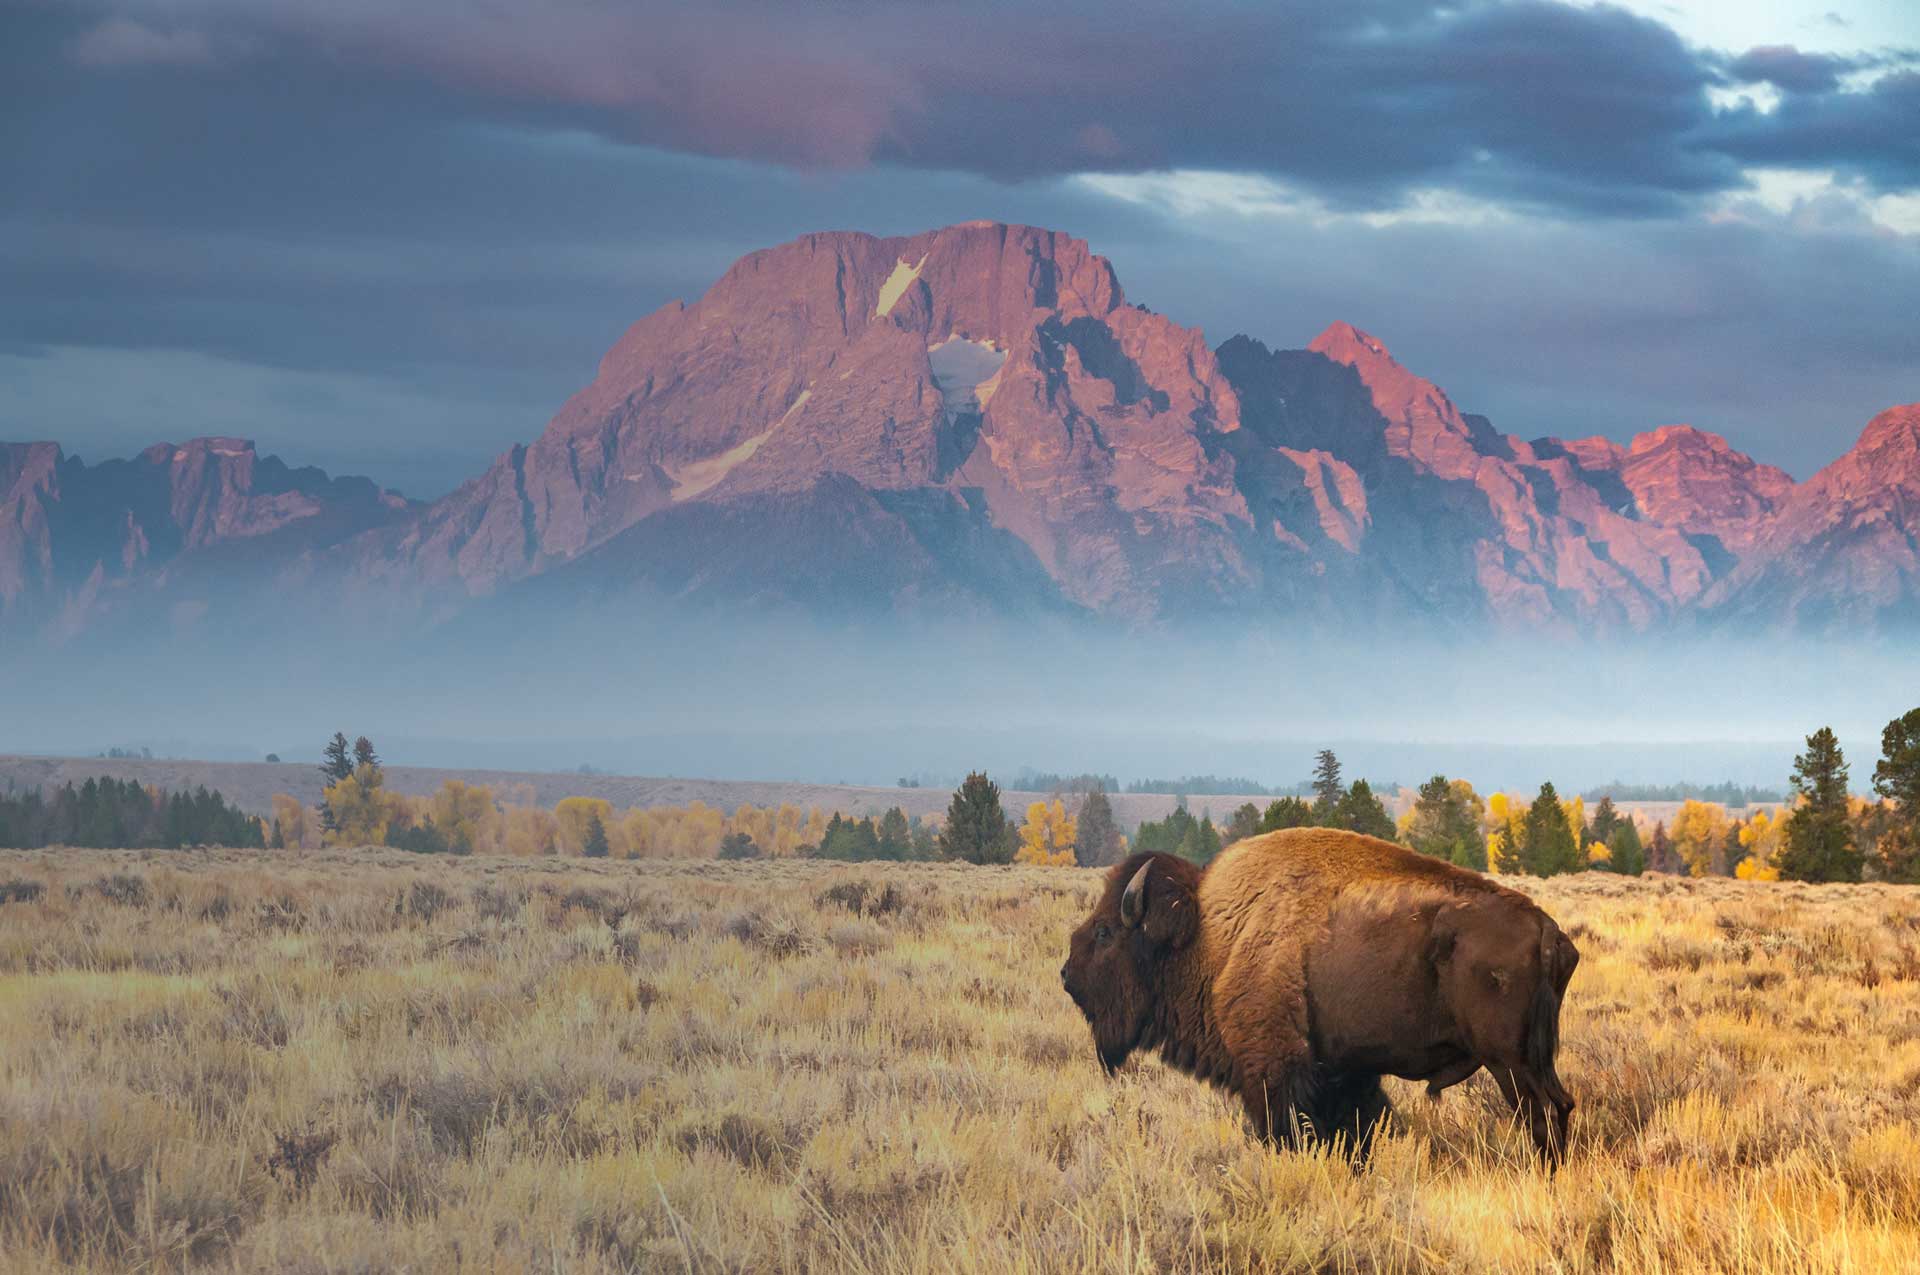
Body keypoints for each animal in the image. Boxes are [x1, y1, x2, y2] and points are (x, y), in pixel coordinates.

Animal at [1059, 825, 1582, 1167]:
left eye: (1105, 933)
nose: (1066, 975)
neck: (1208, 935)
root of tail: (1546, 929)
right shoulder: (1345, 1073)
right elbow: (1357, 1132)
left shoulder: (1273, 1073)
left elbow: (1287, 1132)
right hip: (1534, 1059)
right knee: (1561, 1106)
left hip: (1510, 1062)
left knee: (1541, 1114)